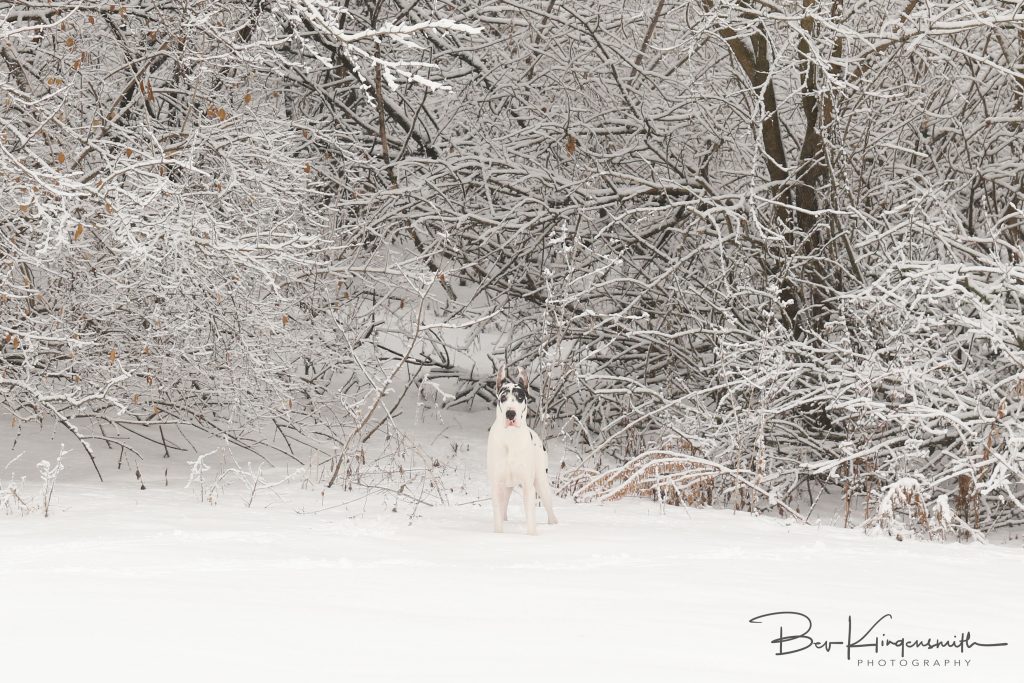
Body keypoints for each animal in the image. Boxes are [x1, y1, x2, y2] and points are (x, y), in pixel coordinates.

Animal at [483, 368, 557, 532]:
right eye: (503, 397)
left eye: (520, 397)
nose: (510, 413)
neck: (511, 438)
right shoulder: (496, 485)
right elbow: (498, 520)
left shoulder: (528, 486)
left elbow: (531, 519)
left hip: (541, 484)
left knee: (551, 513)